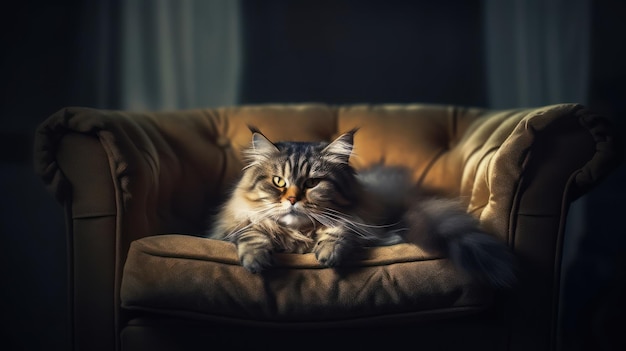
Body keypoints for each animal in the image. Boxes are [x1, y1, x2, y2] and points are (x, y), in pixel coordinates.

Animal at [207, 129, 516, 288]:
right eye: (278, 182)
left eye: (312, 183)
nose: (292, 200)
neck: (301, 235)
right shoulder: (234, 226)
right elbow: (252, 232)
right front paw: (256, 259)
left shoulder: (358, 222)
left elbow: (340, 229)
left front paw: (329, 252)